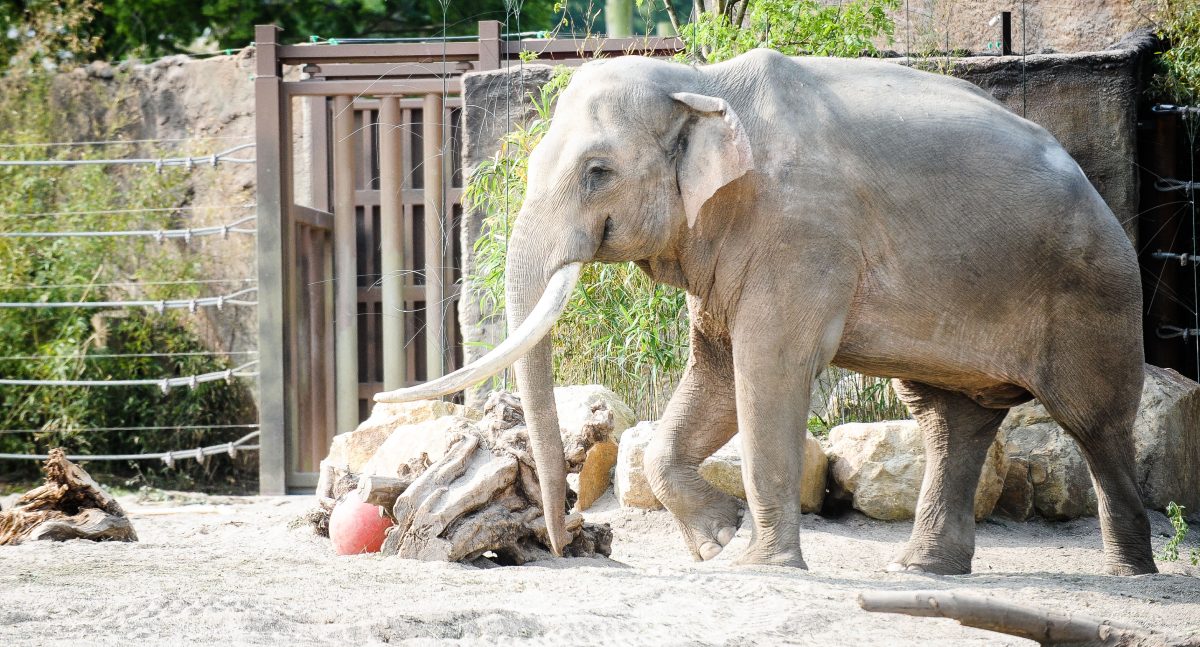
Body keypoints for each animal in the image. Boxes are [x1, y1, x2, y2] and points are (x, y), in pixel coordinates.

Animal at [376, 50, 1161, 576]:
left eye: (597, 172)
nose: (566, 544)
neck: (700, 81)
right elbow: (717, 374)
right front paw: (717, 544)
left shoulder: (802, 235)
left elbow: (768, 371)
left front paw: (757, 564)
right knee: (950, 421)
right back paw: (921, 569)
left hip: (1094, 294)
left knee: (1095, 424)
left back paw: (1131, 573)